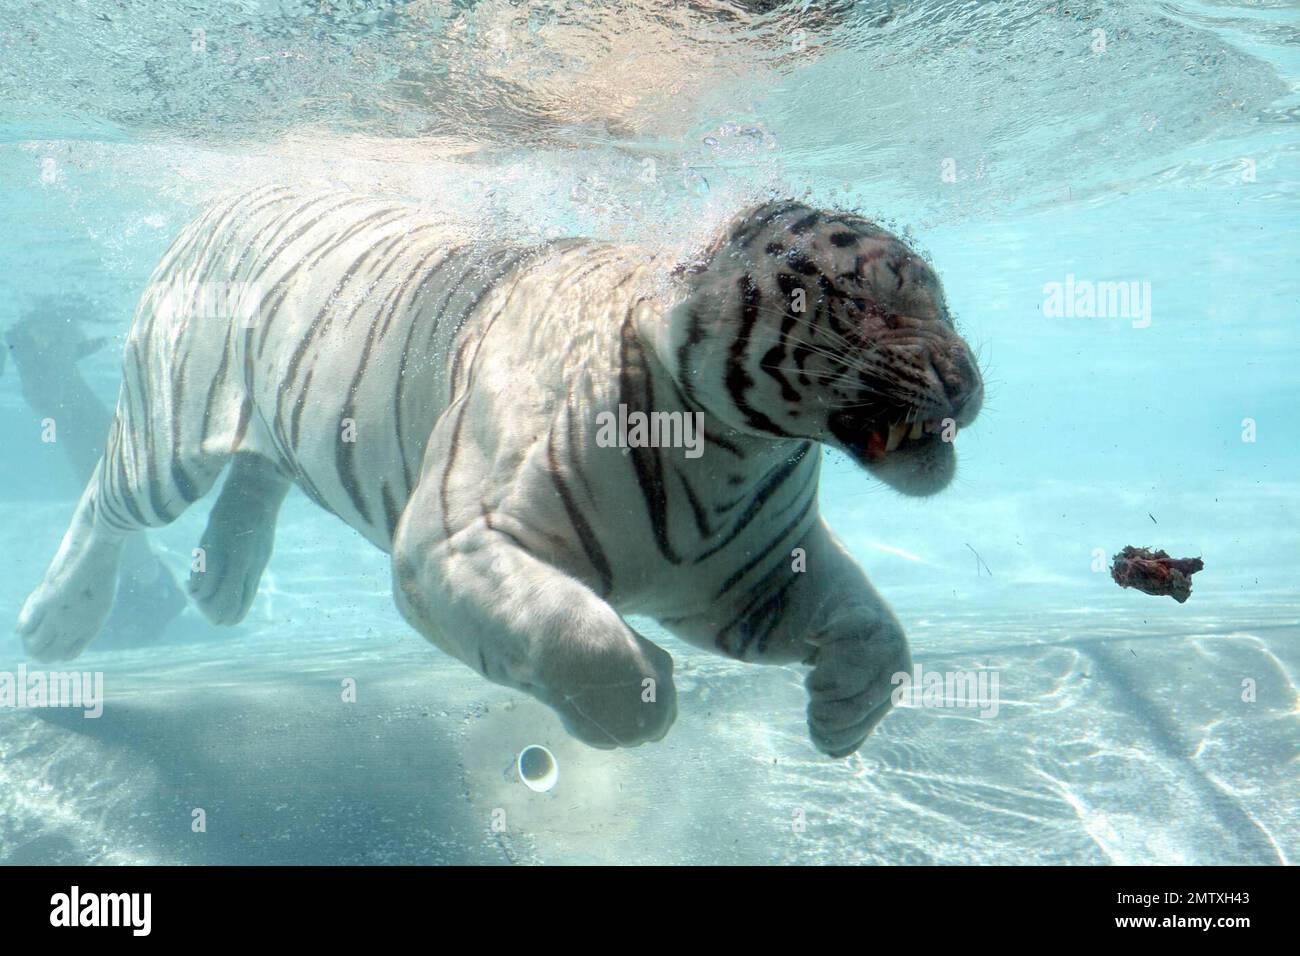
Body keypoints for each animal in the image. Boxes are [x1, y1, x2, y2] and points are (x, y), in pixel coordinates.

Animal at [15, 184, 977, 754]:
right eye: (860, 300)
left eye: (940, 298)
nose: (968, 381)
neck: (735, 446)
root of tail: (237, 191)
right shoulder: (450, 543)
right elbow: (576, 636)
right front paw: (646, 700)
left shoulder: (753, 579)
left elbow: (880, 631)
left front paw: (843, 714)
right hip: (165, 432)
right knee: (106, 501)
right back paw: (54, 620)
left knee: (260, 473)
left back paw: (220, 583)